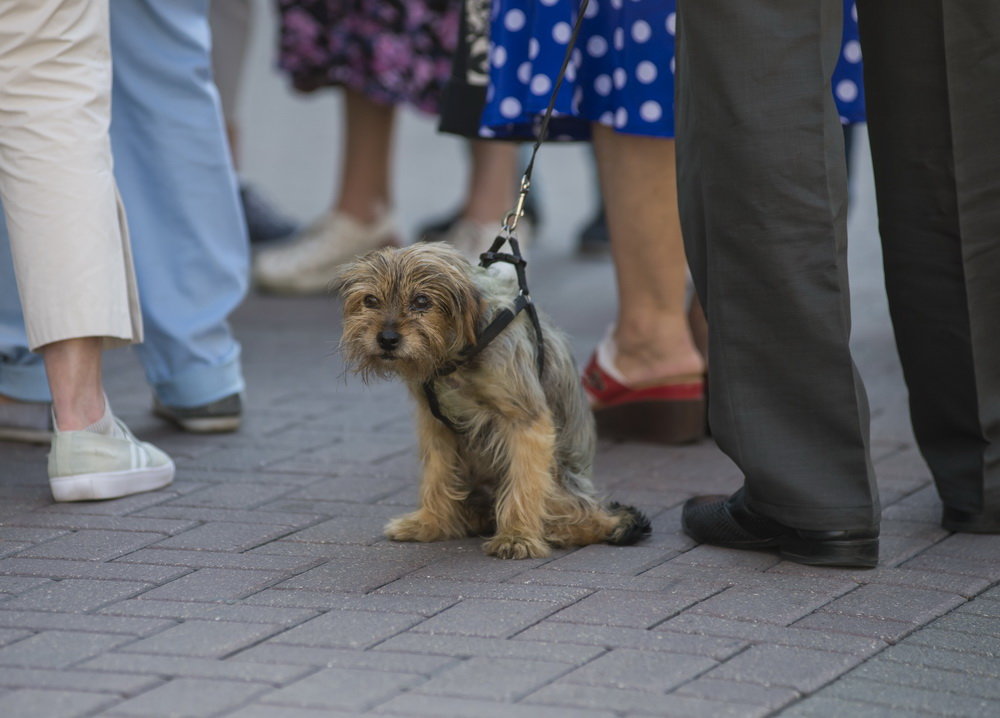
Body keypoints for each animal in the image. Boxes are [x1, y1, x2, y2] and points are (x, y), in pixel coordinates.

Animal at [336, 243, 648, 564]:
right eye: (370, 300)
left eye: (422, 300)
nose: (386, 339)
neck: (456, 355)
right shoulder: (435, 426)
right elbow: (436, 476)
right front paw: (430, 523)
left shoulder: (525, 421)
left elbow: (524, 482)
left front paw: (517, 536)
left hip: (565, 485)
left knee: (597, 520)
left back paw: (561, 529)